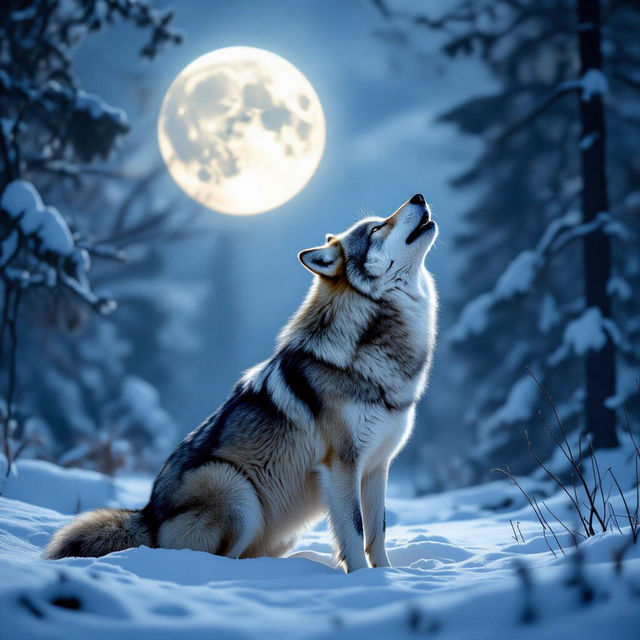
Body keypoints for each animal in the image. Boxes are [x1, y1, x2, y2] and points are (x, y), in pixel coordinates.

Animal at [45, 193, 438, 572]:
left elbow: (378, 532)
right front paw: (361, 581)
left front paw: (386, 576)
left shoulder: (376, 467)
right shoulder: (342, 465)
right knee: (218, 559)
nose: (419, 196)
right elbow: (354, 533)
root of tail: (149, 519)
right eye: (376, 229)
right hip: (235, 489)